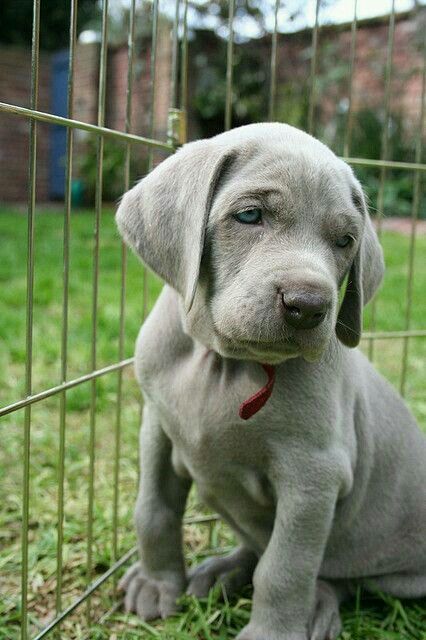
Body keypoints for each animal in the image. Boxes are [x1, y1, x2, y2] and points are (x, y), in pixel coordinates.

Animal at [115, 122, 426, 636]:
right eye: (249, 215)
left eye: (345, 241)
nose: (309, 306)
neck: (224, 363)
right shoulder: (155, 427)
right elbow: (153, 509)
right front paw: (157, 583)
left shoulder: (313, 476)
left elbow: (286, 567)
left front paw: (271, 632)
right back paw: (222, 572)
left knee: (337, 578)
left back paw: (315, 609)